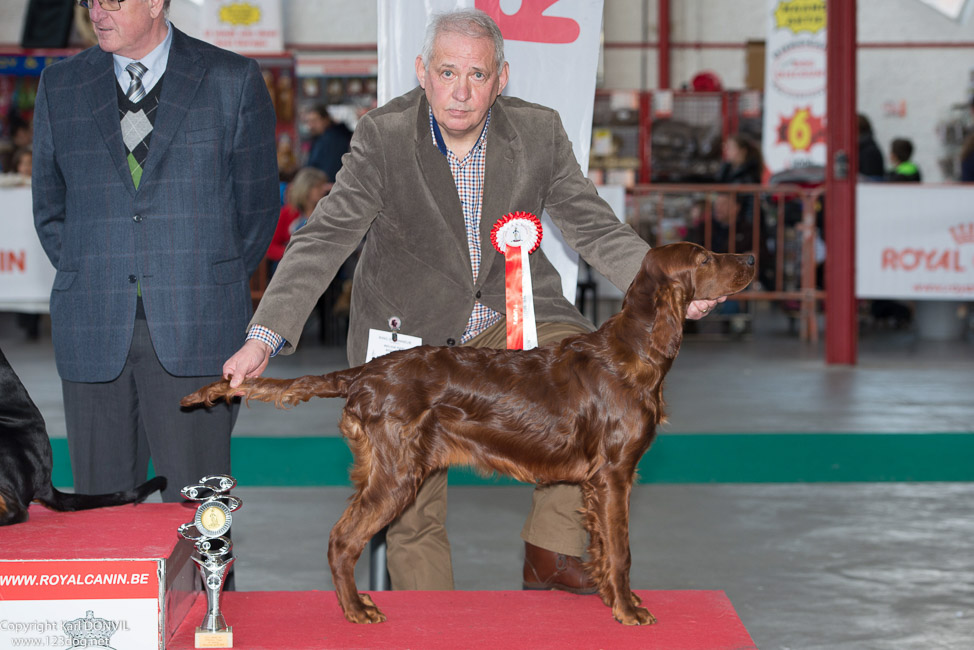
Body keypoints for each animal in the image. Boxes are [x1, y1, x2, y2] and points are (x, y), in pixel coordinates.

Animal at [185, 242, 764, 624]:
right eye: (706, 259)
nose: (753, 259)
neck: (633, 353)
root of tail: (365, 373)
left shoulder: (595, 481)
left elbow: (603, 547)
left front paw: (613, 597)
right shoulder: (614, 475)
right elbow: (621, 549)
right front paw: (627, 610)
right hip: (397, 474)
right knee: (341, 539)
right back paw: (355, 611)